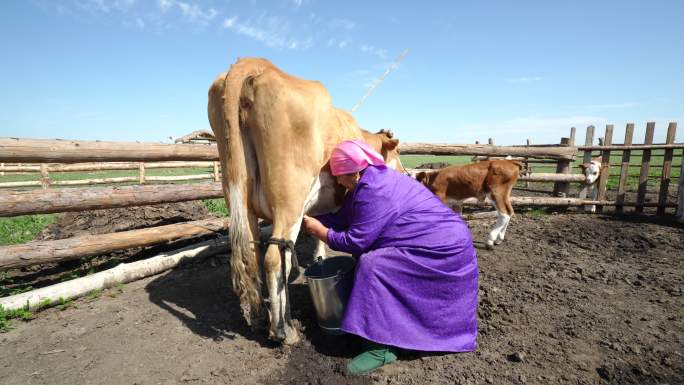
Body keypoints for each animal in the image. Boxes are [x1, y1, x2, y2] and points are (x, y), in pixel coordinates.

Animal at [206, 57, 404, 344]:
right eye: (398, 153)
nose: (405, 172)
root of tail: (259, 65)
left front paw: (319, 257)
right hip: (289, 200)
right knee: (274, 258)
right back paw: (283, 330)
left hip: (240, 197)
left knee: (253, 255)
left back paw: (258, 317)